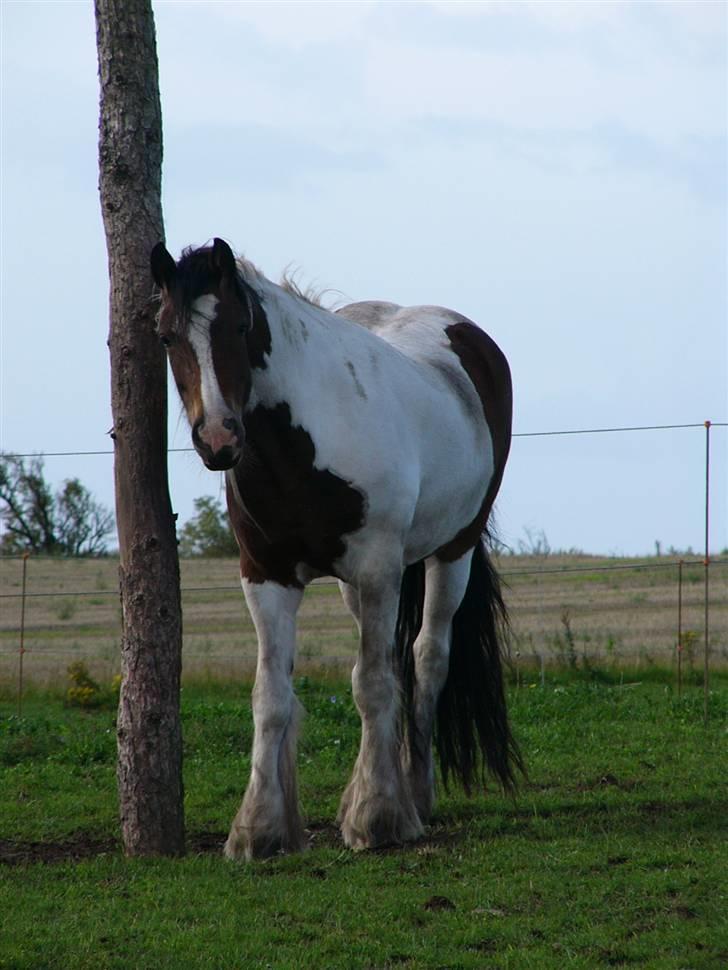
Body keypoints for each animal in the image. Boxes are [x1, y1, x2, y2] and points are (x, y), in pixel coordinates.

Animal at [149, 238, 524, 860]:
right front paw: (258, 828)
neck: (300, 450)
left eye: (241, 326)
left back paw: (416, 794)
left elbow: (371, 684)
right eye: (165, 335)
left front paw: (377, 817)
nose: (219, 438)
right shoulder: (267, 576)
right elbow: (271, 695)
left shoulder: (377, 571)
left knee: (426, 659)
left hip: (453, 552)